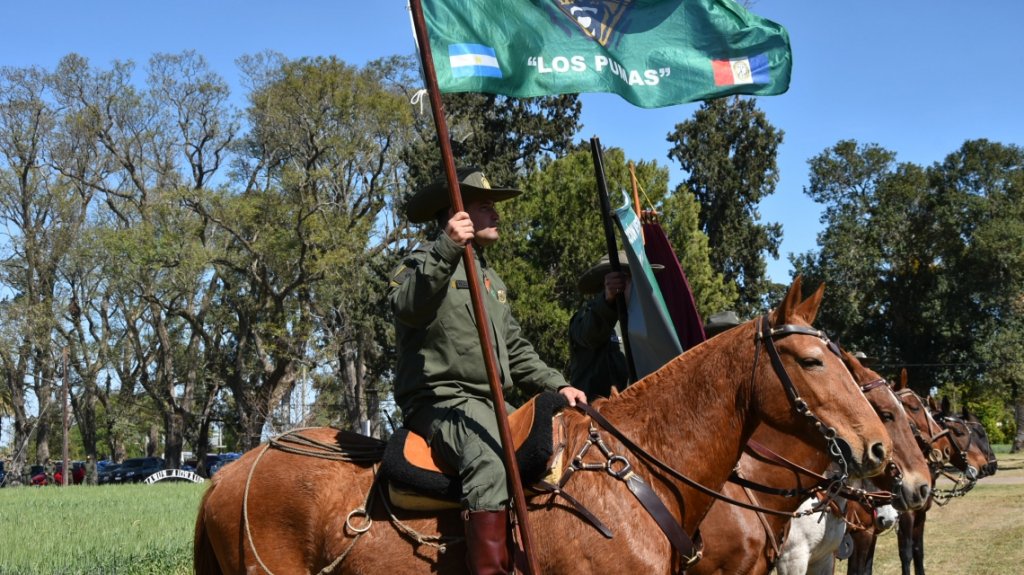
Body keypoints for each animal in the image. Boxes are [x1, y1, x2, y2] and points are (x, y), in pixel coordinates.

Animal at [897, 376, 999, 572]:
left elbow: (918, 551)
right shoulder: (906, 517)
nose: (989, 466)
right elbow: (906, 555)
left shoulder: (920, 515)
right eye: (960, 432)